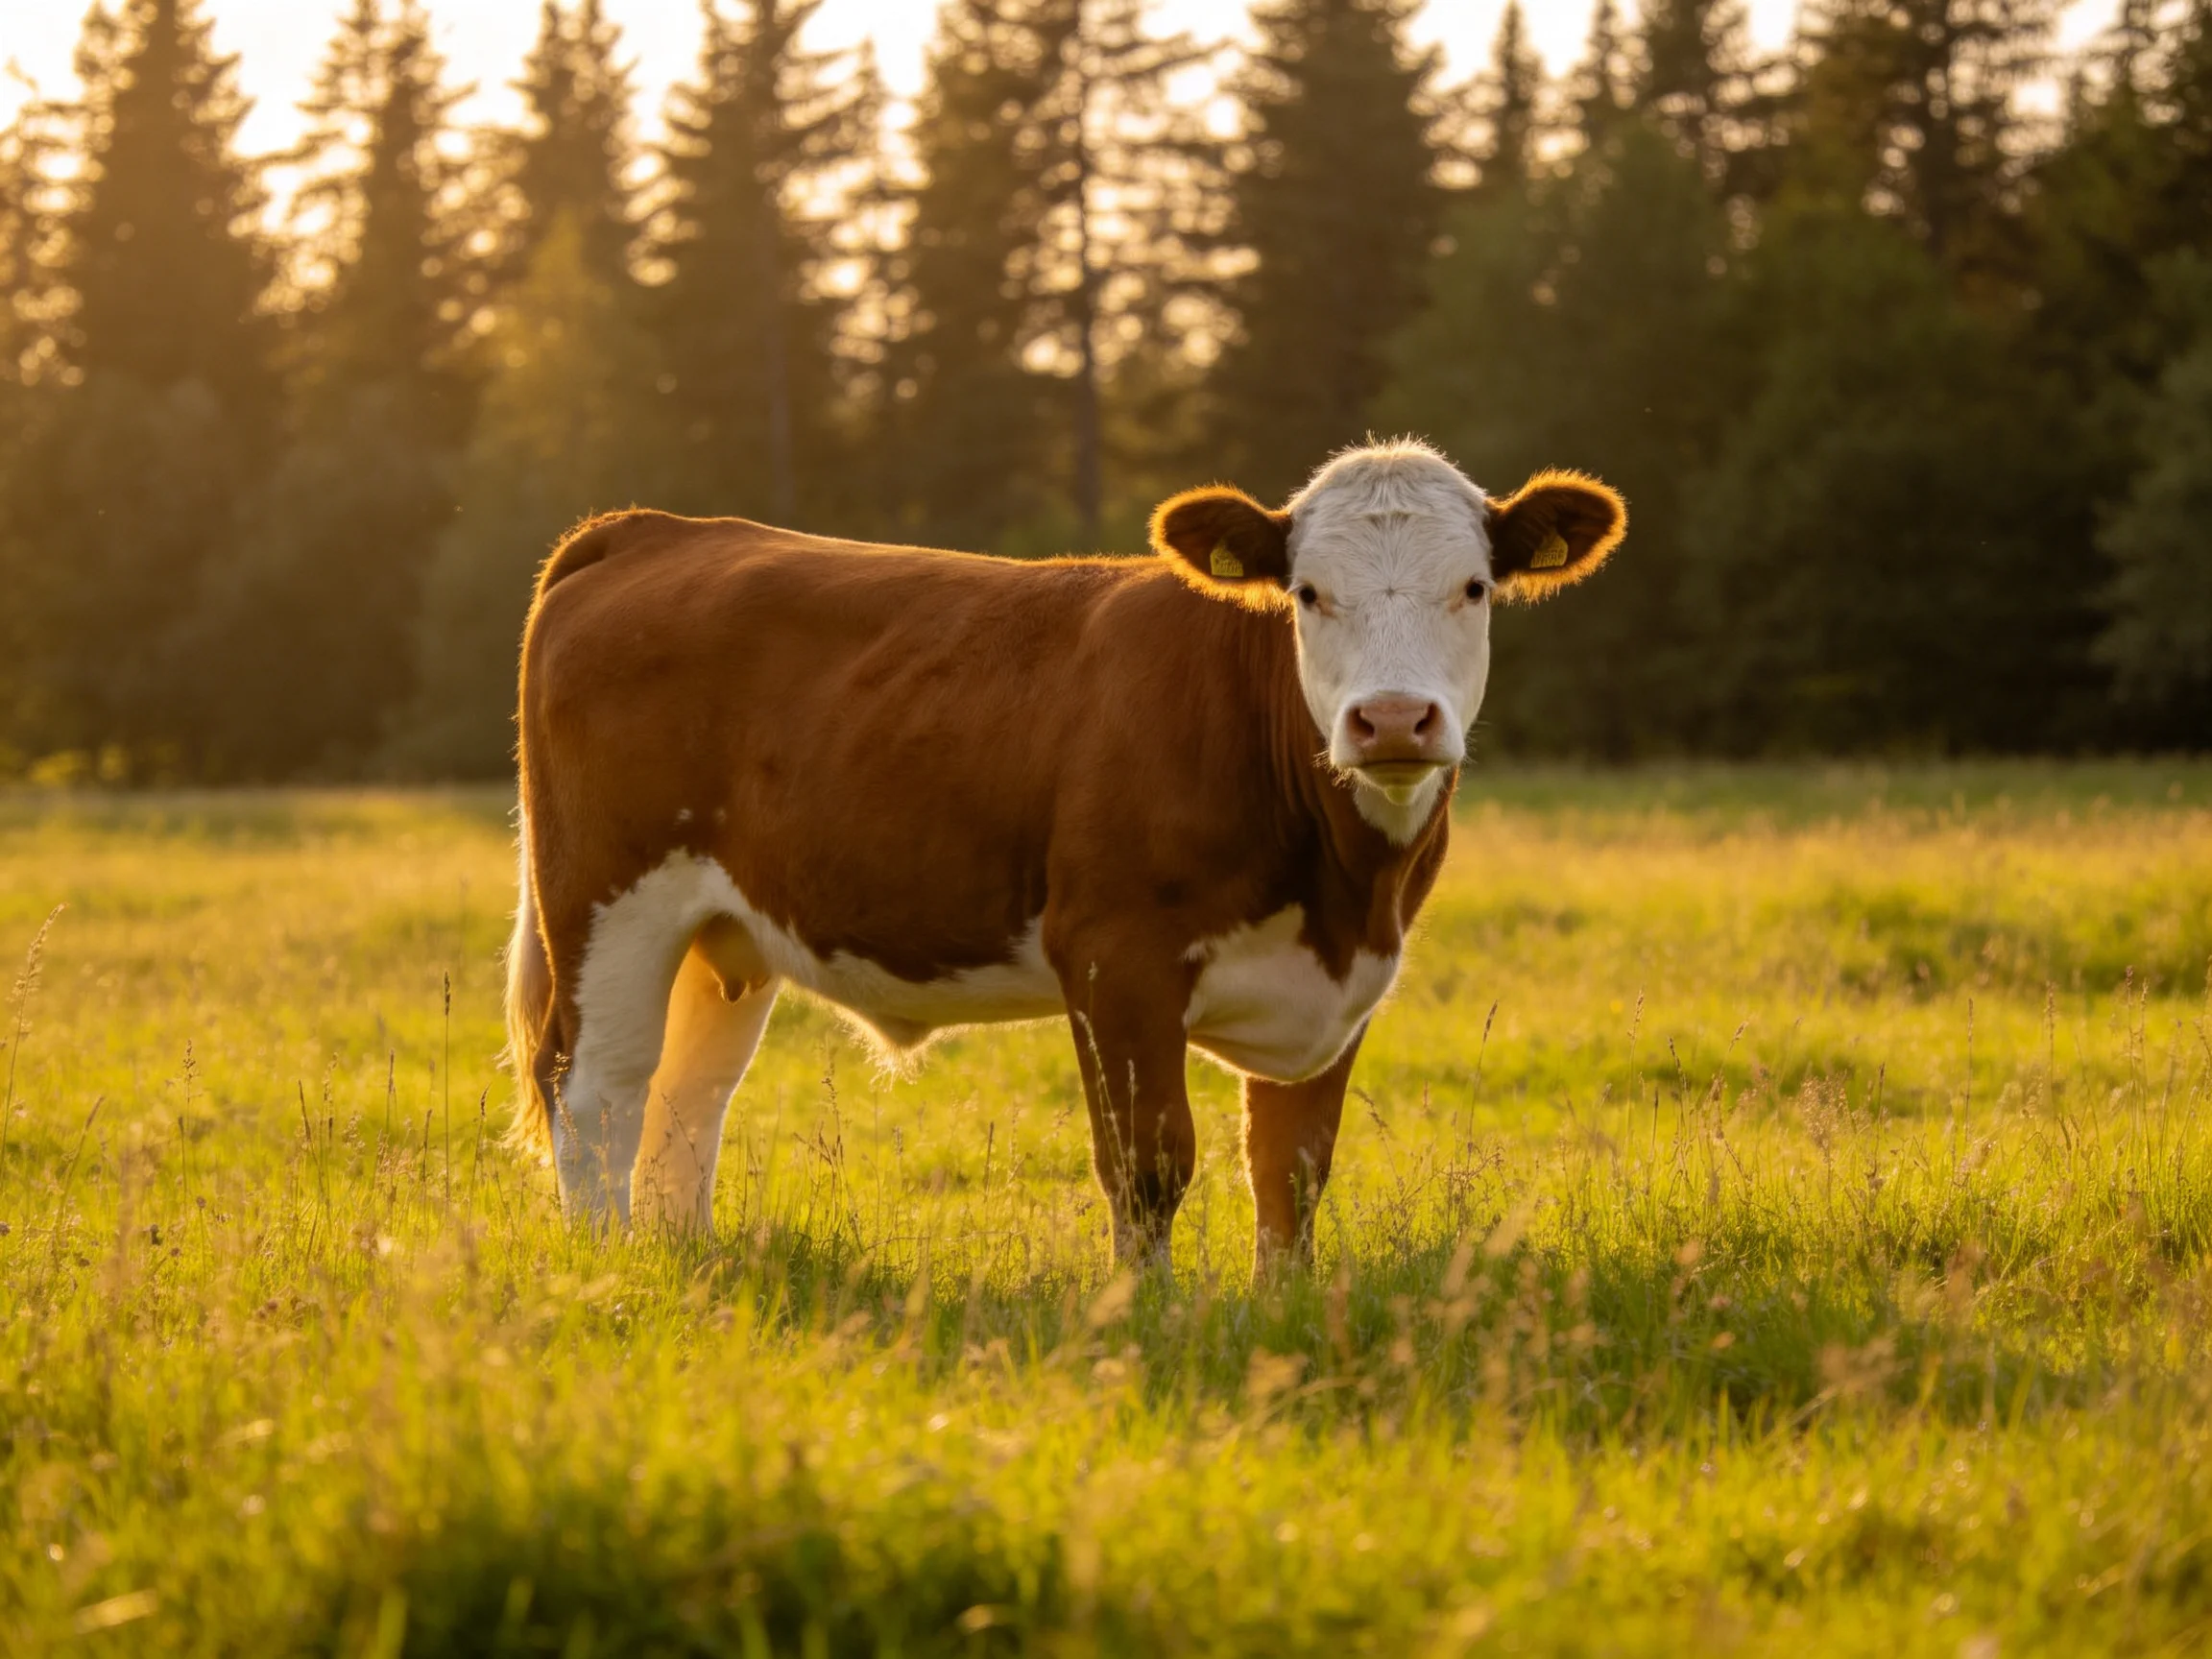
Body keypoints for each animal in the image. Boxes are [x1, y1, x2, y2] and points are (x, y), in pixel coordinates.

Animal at [505, 438, 1624, 1270]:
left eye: (1473, 587)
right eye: (1307, 593)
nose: (1392, 720)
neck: (1345, 889)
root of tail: (655, 529)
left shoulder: (1340, 989)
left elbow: (1292, 1169)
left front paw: (1284, 1310)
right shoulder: (1114, 957)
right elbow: (1149, 1162)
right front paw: (1150, 1316)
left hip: (721, 931)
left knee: (688, 1095)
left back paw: (678, 1258)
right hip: (608, 900)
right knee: (598, 1087)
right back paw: (610, 1269)